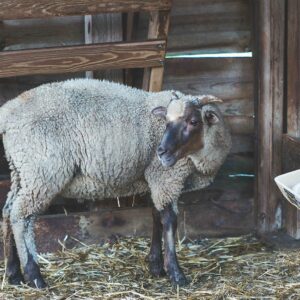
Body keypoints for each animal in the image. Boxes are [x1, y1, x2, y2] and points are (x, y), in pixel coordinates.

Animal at [0, 78, 232, 288]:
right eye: (166, 121)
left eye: (194, 121)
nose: (161, 152)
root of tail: (7, 112)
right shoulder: (166, 177)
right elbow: (169, 220)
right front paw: (176, 274)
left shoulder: (155, 179)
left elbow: (155, 216)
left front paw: (156, 266)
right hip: (42, 171)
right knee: (21, 217)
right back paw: (34, 276)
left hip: (21, 170)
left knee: (7, 212)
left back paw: (13, 274)